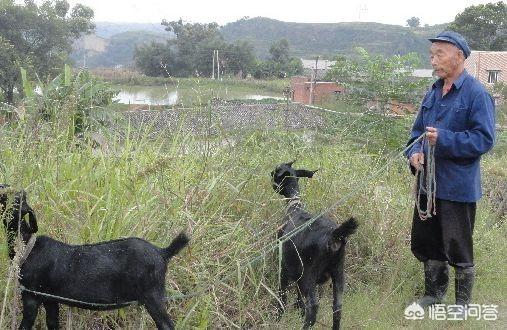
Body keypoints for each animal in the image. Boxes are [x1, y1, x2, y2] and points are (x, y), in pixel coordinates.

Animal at [0, 186, 190, 330]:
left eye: (15, 198)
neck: (27, 246)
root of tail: (162, 252)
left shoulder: (31, 295)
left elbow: (25, 325)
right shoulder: (50, 298)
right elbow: (52, 323)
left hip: (153, 295)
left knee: (166, 325)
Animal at [272, 161, 360, 328]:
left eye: (275, 171)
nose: (273, 184)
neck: (295, 208)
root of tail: (334, 235)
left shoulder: (284, 267)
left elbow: (282, 296)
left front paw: (278, 317)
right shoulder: (298, 275)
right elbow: (299, 301)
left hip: (309, 276)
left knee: (313, 307)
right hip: (338, 274)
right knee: (337, 308)